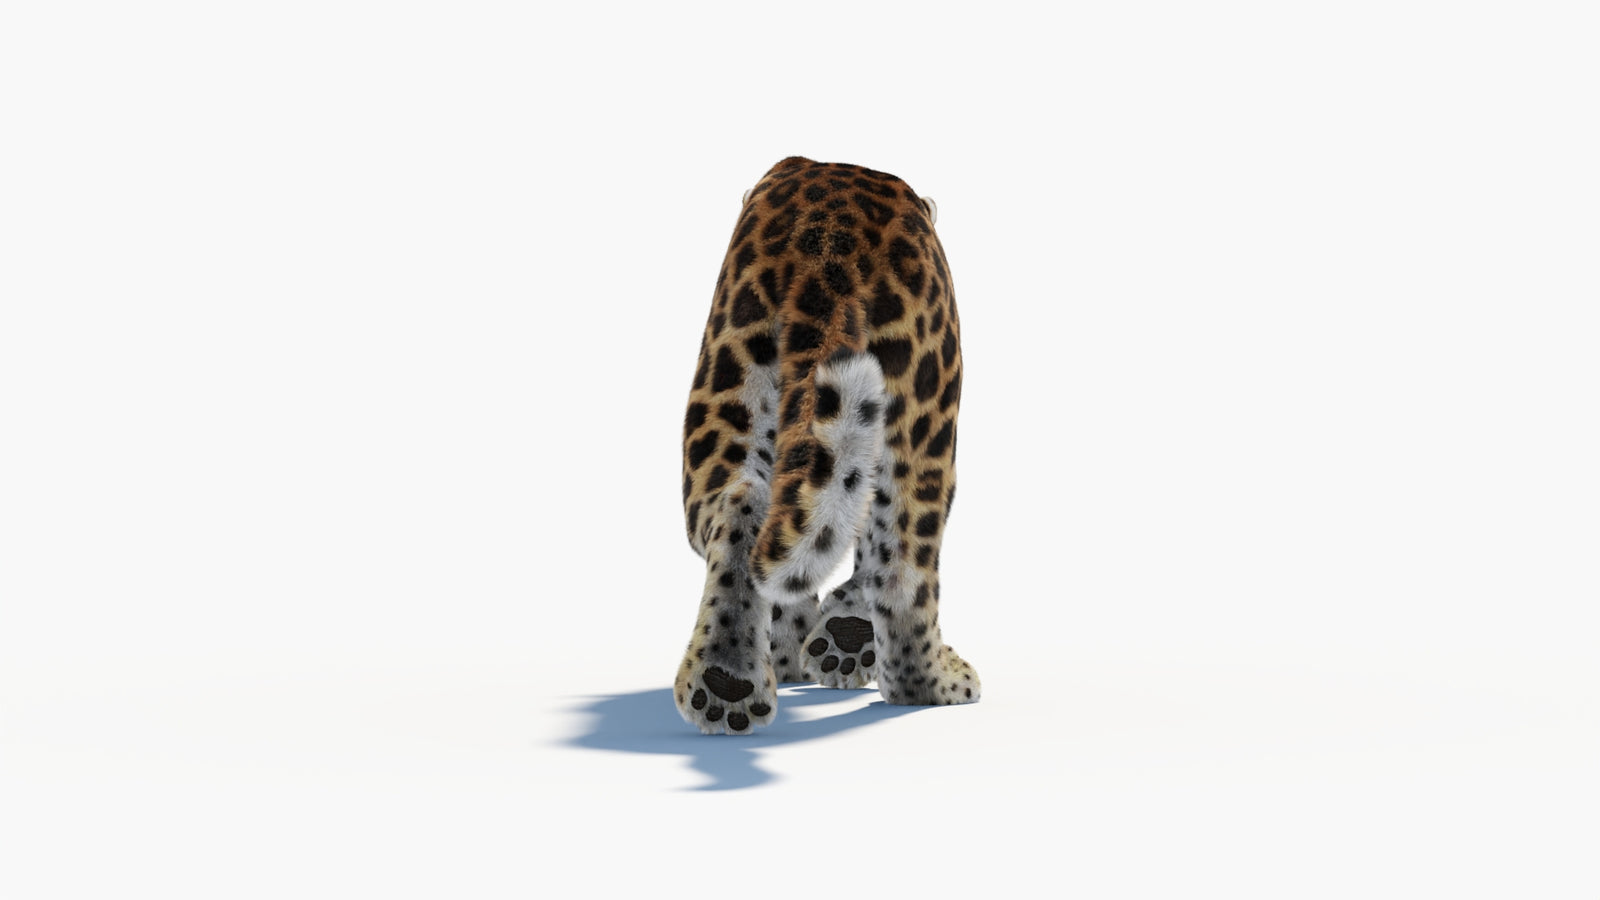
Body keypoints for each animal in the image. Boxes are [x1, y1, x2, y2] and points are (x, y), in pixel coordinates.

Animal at [674, 157, 980, 734]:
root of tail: (829, 241)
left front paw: (815, 646)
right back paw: (935, 685)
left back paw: (727, 682)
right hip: (924, 417)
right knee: (902, 565)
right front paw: (840, 639)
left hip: (727, 389)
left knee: (742, 507)